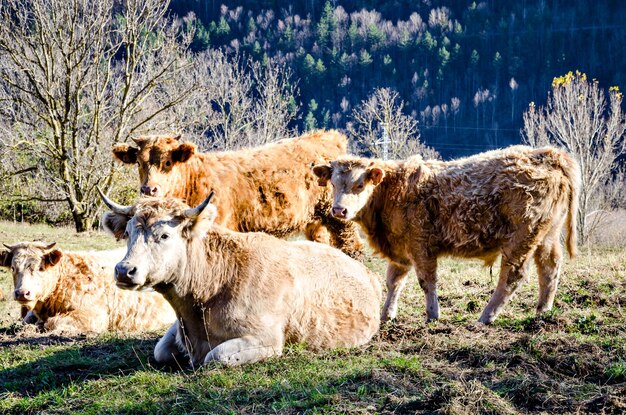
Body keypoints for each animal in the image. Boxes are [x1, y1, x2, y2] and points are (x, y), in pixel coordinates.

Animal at [0, 240, 176, 334]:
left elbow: (52, 323)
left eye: (40, 268)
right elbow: (26, 322)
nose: (22, 293)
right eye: (13, 268)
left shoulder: (94, 316)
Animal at [98, 192, 380, 368]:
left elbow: (216, 357)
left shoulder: (267, 341)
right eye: (128, 233)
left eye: (165, 235)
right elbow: (161, 351)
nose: (124, 270)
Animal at [312, 146, 580, 324]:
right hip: (547, 235)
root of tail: (547, 154)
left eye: (359, 185)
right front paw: (386, 315)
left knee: (512, 276)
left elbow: (426, 281)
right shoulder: (401, 249)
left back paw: (486, 316)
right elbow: (393, 281)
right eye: (333, 184)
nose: (339, 210)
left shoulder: (421, 244)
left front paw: (432, 315)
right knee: (550, 267)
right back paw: (542, 311)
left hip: (521, 237)